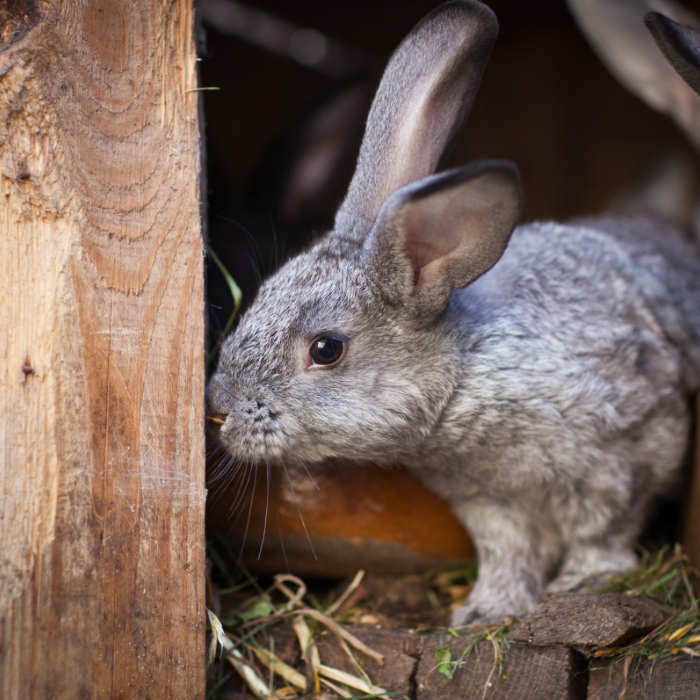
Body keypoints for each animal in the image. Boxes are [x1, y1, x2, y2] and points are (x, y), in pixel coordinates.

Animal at [207, 0, 700, 625]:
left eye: (326, 349)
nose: (217, 404)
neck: (466, 371)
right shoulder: (492, 506)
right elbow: (508, 555)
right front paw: (487, 611)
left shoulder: (625, 458)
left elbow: (603, 533)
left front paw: (581, 585)